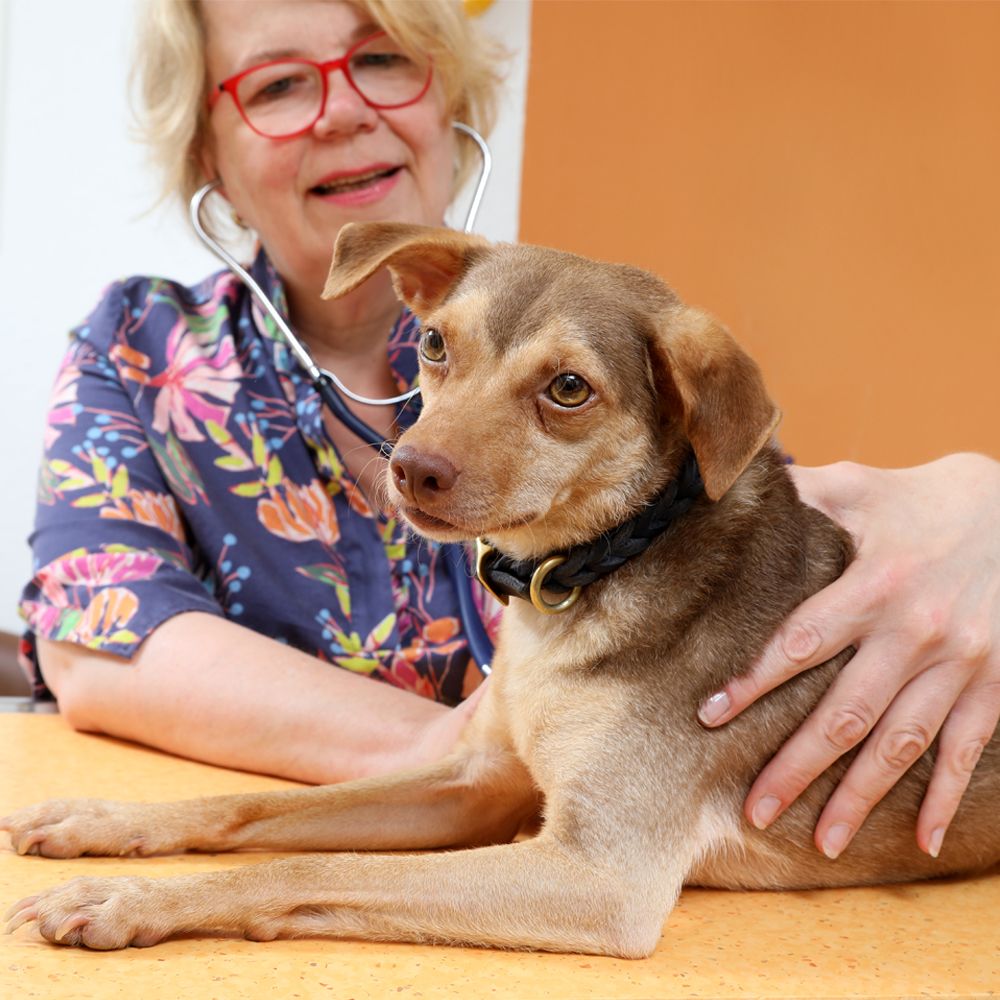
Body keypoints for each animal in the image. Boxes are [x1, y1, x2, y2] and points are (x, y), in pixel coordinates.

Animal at [7, 223, 1000, 956]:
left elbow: (308, 867)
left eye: (568, 387)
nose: (410, 470)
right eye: (434, 345)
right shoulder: (476, 783)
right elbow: (252, 806)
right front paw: (103, 821)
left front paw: (127, 900)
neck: (585, 579)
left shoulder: (595, 875)